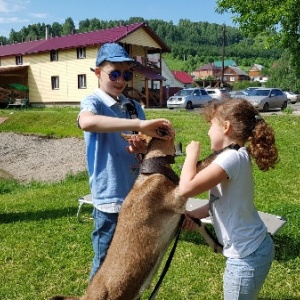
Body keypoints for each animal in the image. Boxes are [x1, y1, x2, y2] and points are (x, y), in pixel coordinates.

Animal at [50, 129, 221, 300]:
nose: (178, 142)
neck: (151, 174)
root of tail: (87, 296)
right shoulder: (176, 196)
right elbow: (200, 165)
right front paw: (222, 150)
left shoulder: (180, 212)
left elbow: (197, 221)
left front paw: (217, 246)